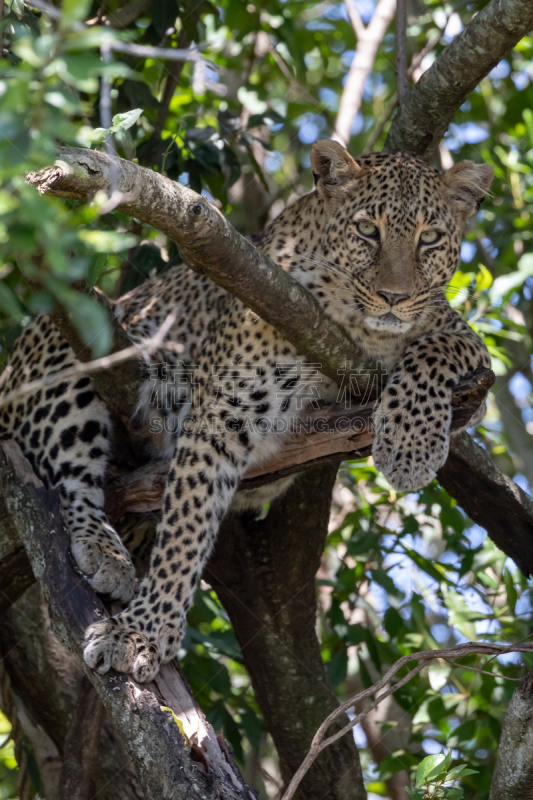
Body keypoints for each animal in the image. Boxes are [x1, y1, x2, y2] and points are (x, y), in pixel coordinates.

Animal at [0, 142, 492, 680]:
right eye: (367, 230)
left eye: (430, 238)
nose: (394, 298)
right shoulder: (219, 413)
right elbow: (186, 529)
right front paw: (140, 633)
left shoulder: (461, 341)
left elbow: (434, 353)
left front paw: (409, 448)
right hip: (66, 340)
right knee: (70, 483)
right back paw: (104, 551)